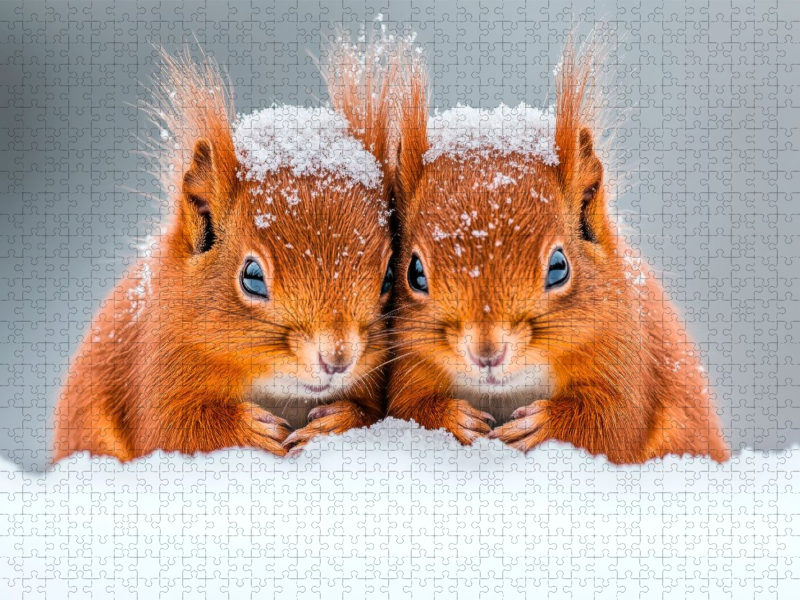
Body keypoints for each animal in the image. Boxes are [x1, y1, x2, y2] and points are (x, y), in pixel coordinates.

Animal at [51, 44, 397, 462]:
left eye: (389, 277)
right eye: (252, 278)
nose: (337, 359)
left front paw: (335, 423)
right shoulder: (157, 366)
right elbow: (171, 431)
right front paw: (251, 430)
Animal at [385, 35, 730, 463]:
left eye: (559, 267)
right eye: (414, 273)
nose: (487, 353)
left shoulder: (625, 353)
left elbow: (613, 423)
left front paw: (542, 424)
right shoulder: (408, 364)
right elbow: (407, 409)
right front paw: (454, 418)